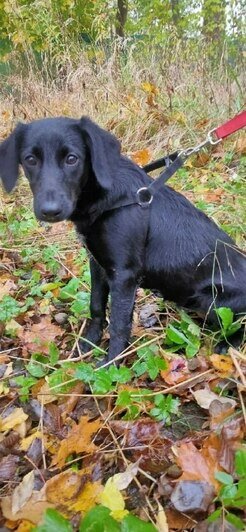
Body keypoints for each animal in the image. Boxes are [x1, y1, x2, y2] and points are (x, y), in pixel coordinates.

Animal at [0, 116, 245, 362]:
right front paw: (89, 343)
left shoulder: (124, 275)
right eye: (30, 159)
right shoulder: (98, 265)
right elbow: (96, 306)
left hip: (210, 299)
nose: (50, 211)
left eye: (72, 159)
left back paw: (228, 345)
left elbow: (119, 325)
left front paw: (110, 364)